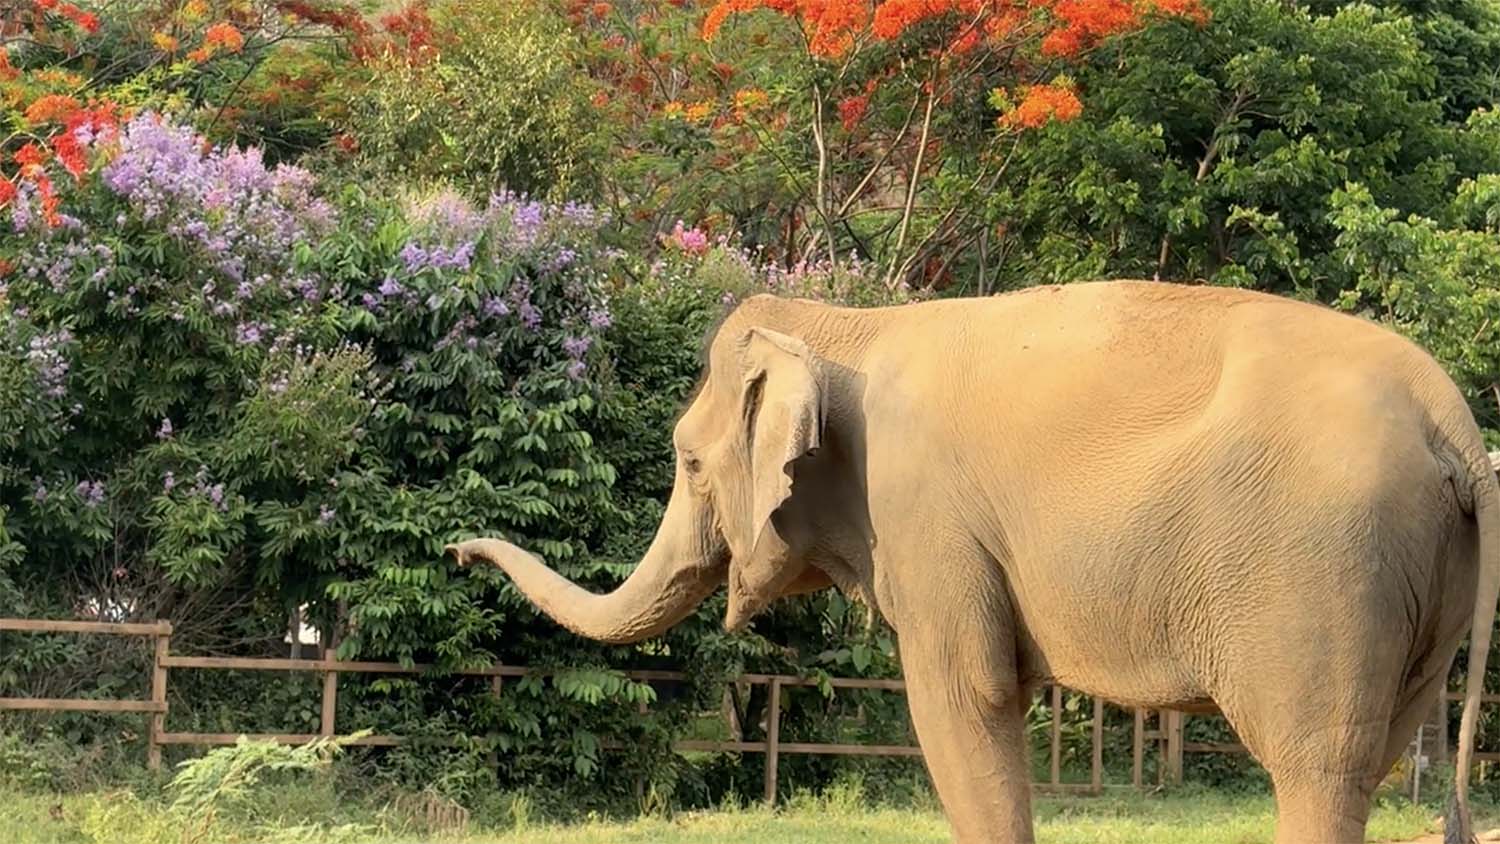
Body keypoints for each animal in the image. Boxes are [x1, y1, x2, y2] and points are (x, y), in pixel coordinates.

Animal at [446, 280, 1500, 844]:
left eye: (689, 462)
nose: (456, 550)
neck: (852, 322)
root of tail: (1453, 425)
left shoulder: (927, 520)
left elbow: (966, 706)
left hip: (1326, 570)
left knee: (1317, 768)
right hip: (1422, 588)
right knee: (1374, 755)